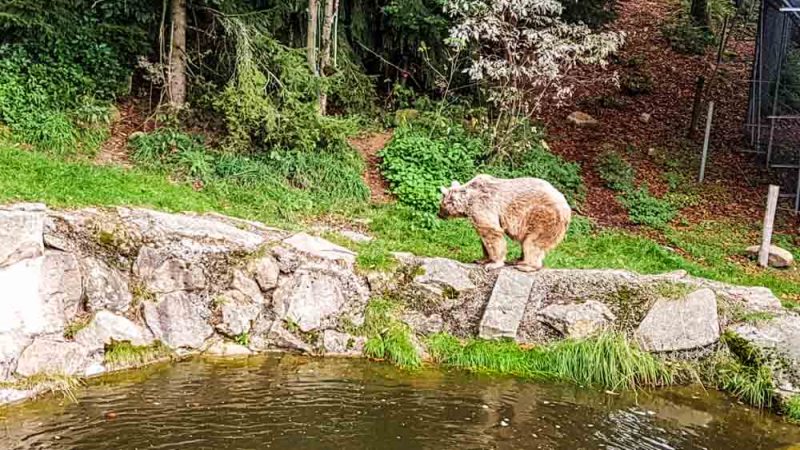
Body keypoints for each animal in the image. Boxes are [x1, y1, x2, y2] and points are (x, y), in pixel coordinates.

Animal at [438, 175, 576, 270]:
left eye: (440, 205)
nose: (438, 214)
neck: (467, 202)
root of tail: (568, 208)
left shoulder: (482, 207)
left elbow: (492, 233)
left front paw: (494, 264)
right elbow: (484, 237)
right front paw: (482, 259)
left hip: (543, 217)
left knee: (532, 243)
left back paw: (526, 266)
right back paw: (519, 260)